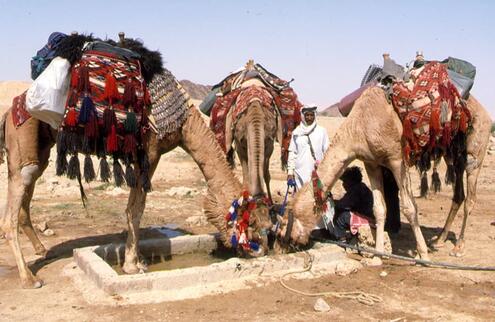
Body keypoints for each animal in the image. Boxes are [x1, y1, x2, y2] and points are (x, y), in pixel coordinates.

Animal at [0, 104, 272, 288]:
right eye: (250, 220)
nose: (261, 248)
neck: (183, 125)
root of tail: (9, 112)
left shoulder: (152, 155)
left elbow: (137, 207)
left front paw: (137, 259)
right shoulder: (149, 152)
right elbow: (136, 209)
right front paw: (132, 265)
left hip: (41, 150)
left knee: (27, 187)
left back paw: (42, 250)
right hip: (23, 143)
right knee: (16, 196)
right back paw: (29, 278)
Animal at [280, 87, 492, 260]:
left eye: (286, 221)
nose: (285, 243)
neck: (359, 127)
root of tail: (486, 114)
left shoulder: (398, 160)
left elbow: (409, 207)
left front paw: (423, 255)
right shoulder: (371, 163)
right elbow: (379, 208)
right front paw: (378, 254)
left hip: (475, 152)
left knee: (470, 199)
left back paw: (458, 247)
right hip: (454, 156)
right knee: (458, 195)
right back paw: (439, 239)